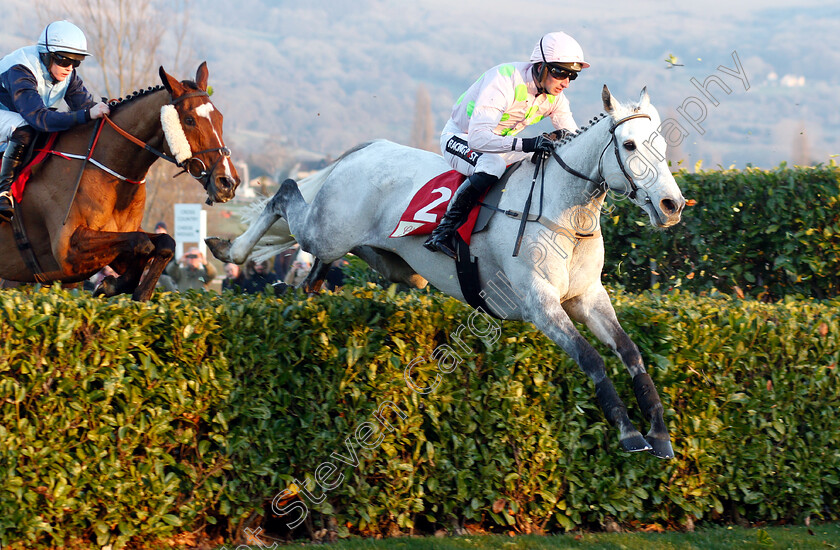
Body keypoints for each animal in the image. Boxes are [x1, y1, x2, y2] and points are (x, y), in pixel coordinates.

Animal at [0, 63, 240, 302]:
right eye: (189, 120)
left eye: (219, 118)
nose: (228, 182)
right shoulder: (68, 253)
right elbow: (142, 243)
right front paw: (110, 286)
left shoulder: (119, 240)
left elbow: (164, 244)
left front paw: (135, 291)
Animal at [207, 85, 684, 458]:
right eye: (629, 146)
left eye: (661, 145)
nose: (672, 205)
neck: (561, 214)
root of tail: (368, 149)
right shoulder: (541, 305)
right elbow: (591, 359)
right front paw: (629, 433)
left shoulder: (587, 297)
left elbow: (631, 353)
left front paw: (659, 435)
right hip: (327, 232)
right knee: (286, 195)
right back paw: (232, 249)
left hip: (391, 263)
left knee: (327, 251)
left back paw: (306, 280)